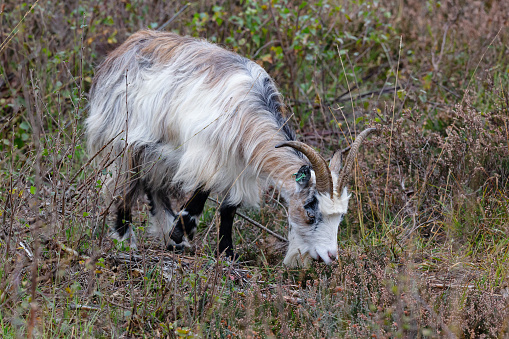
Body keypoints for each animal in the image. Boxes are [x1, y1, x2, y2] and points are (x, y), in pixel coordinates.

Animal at [86, 30, 374, 266]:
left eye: (341, 216)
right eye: (310, 211)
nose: (331, 256)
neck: (248, 109)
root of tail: (121, 50)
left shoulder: (241, 165)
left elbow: (229, 208)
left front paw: (226, 253)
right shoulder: (206, 153)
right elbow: (201, 193)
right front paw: (181, 234)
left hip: (157, 150)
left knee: (151, 186)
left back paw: (166, 235)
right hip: (122, 139)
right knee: (125, 185)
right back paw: (127, 240)